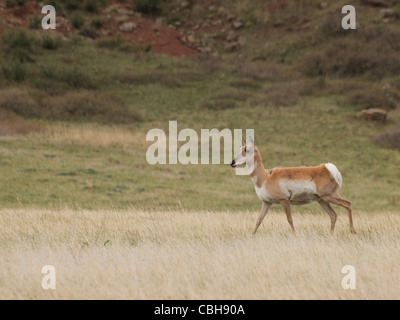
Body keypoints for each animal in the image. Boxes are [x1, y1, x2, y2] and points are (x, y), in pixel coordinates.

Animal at [230, 138, 358, 235]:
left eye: (247, 150)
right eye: (240, 148)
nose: (232, 162)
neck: (266, 177)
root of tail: (327, 168)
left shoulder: (284, 201)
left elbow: (290, 220)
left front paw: (294, 235)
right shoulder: (266, 202)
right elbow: (258, 220)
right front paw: (251, 236)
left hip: (330, 197)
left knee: (348, 204)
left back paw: (353, 231)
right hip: (322, 200)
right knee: (333, 215)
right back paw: (330, 234)